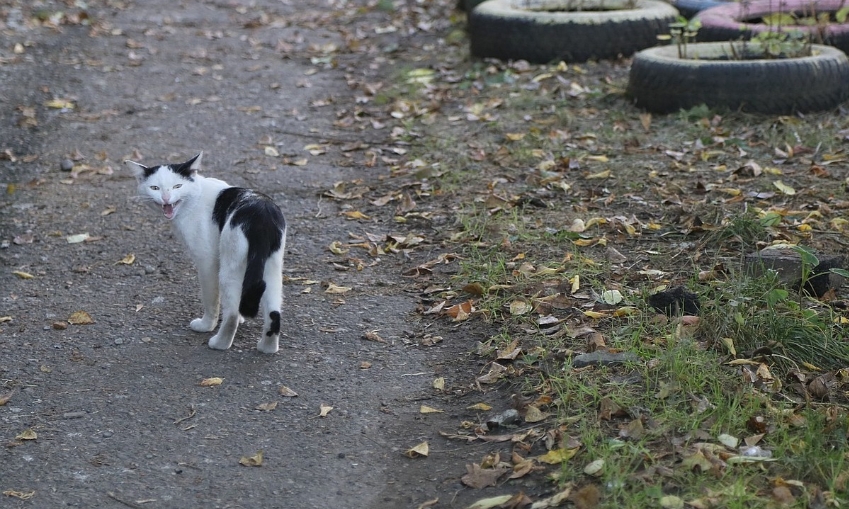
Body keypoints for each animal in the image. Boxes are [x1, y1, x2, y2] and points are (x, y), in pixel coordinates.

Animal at [124, 152, 286, 354]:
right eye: (155, 188)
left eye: (178, 186)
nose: (166, 198)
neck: (195, 197)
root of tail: (261, 215)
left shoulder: (207, 262)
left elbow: (211, 299)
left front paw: (206, 325)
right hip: (271, 268)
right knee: (273, 312)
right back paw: (267, 348)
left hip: (230, 266)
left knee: (232, 313)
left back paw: (219, 343)